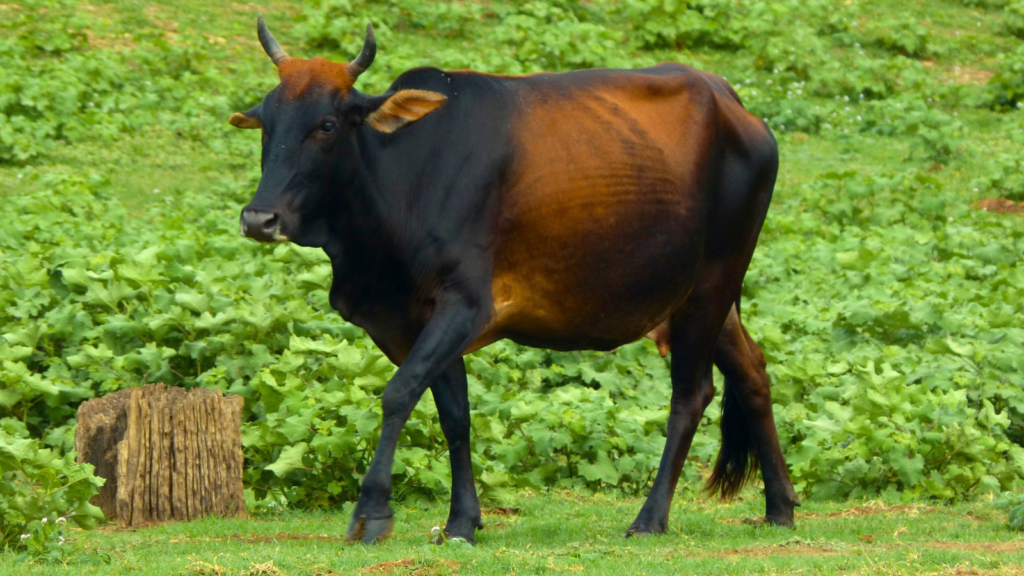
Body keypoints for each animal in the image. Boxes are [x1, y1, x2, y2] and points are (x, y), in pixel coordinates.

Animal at [230, 14, 798, 541]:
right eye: (265, 122)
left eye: (326, 125)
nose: (259, 219)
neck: (405, 178)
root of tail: (732, 101)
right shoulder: (416, 317)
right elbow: (454, 414)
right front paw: (462, 521)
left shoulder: (465, 305)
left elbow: (399, 392)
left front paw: (372, 511)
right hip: (702, 297)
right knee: (752, 370)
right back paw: (780, 507)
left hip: (712, 285)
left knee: (691, 393)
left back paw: (650, 517)